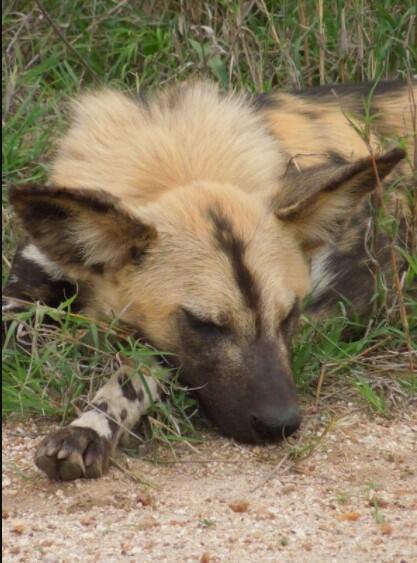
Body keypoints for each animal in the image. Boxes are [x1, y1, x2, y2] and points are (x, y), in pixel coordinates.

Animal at [1, 80, 414, 480]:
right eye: (205, 324)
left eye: (288, 316)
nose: (279, 424)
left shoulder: (163, 354)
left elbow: (129, 380)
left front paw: (87, 429)